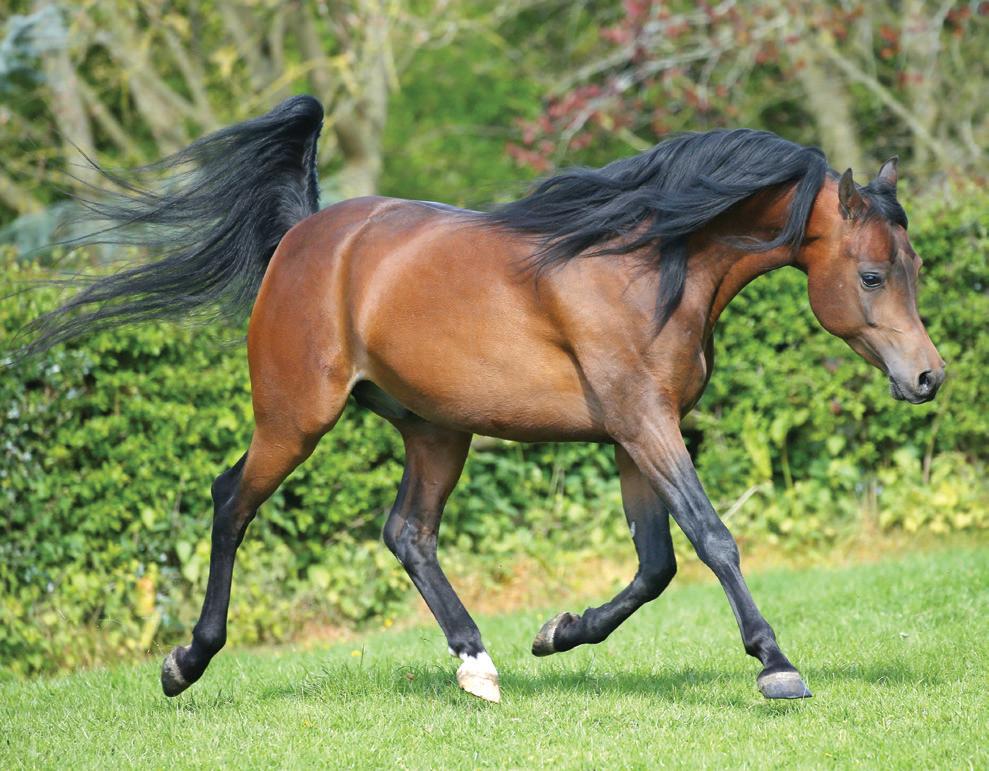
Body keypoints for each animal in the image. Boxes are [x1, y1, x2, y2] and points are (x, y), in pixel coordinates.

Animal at [19, 95, 944, 703]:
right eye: (871, 274)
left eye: (913, 266)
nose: (927, 377)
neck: (650, 263)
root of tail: (304, 235)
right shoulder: (644, 424)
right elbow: (712, 539)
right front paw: (774, 663)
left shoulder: (634, 432)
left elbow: (655, 564)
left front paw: (555, 632)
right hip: (294, 419)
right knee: (229, 502)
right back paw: (186, 661)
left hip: (436, 430)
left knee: (407, 532)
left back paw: (477, 662)